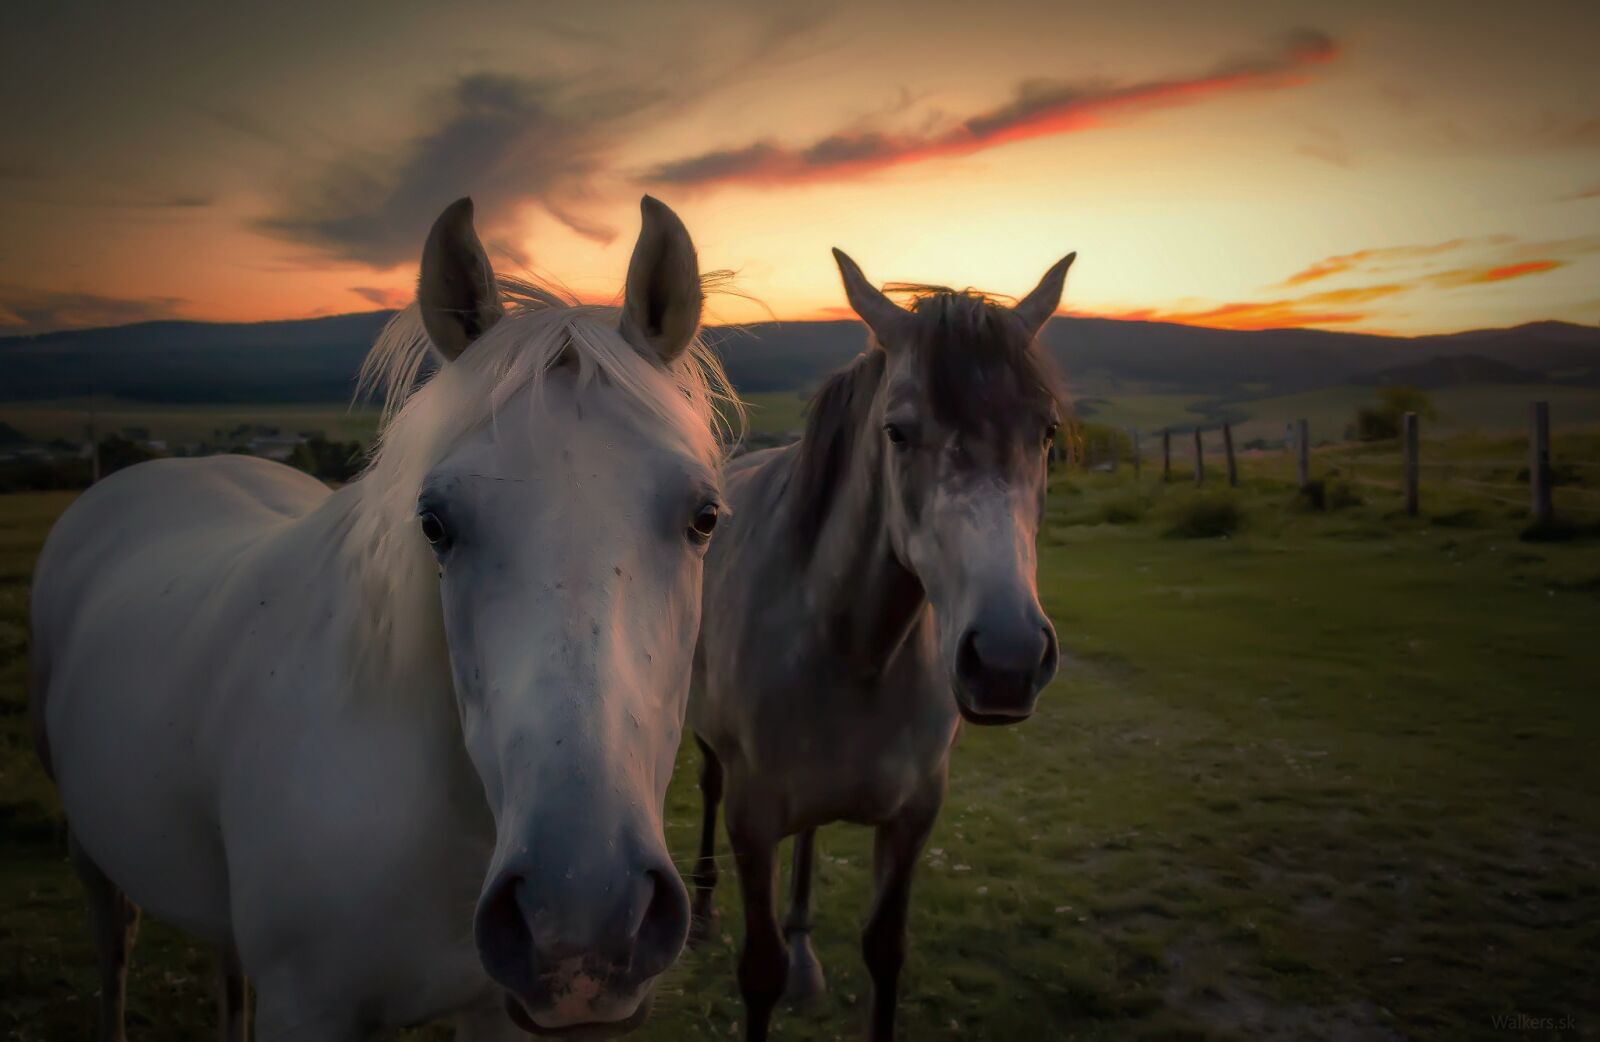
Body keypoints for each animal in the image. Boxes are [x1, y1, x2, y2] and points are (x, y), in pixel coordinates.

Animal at [30, 195, 734, 1041]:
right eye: (434, 523)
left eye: (704, 517)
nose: (583, 915)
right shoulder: (307, 1007)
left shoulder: (495, 1012)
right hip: (92, 854)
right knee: (116, 945)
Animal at [687, 248, 1075, 1041]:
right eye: (896, 432)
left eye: (1047, 432)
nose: (1008, 662)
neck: (853, 646)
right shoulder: (752, 819)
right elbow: (759, 970)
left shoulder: (915, 813)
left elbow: (886, 949)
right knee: (706, 786)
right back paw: (704, 908)